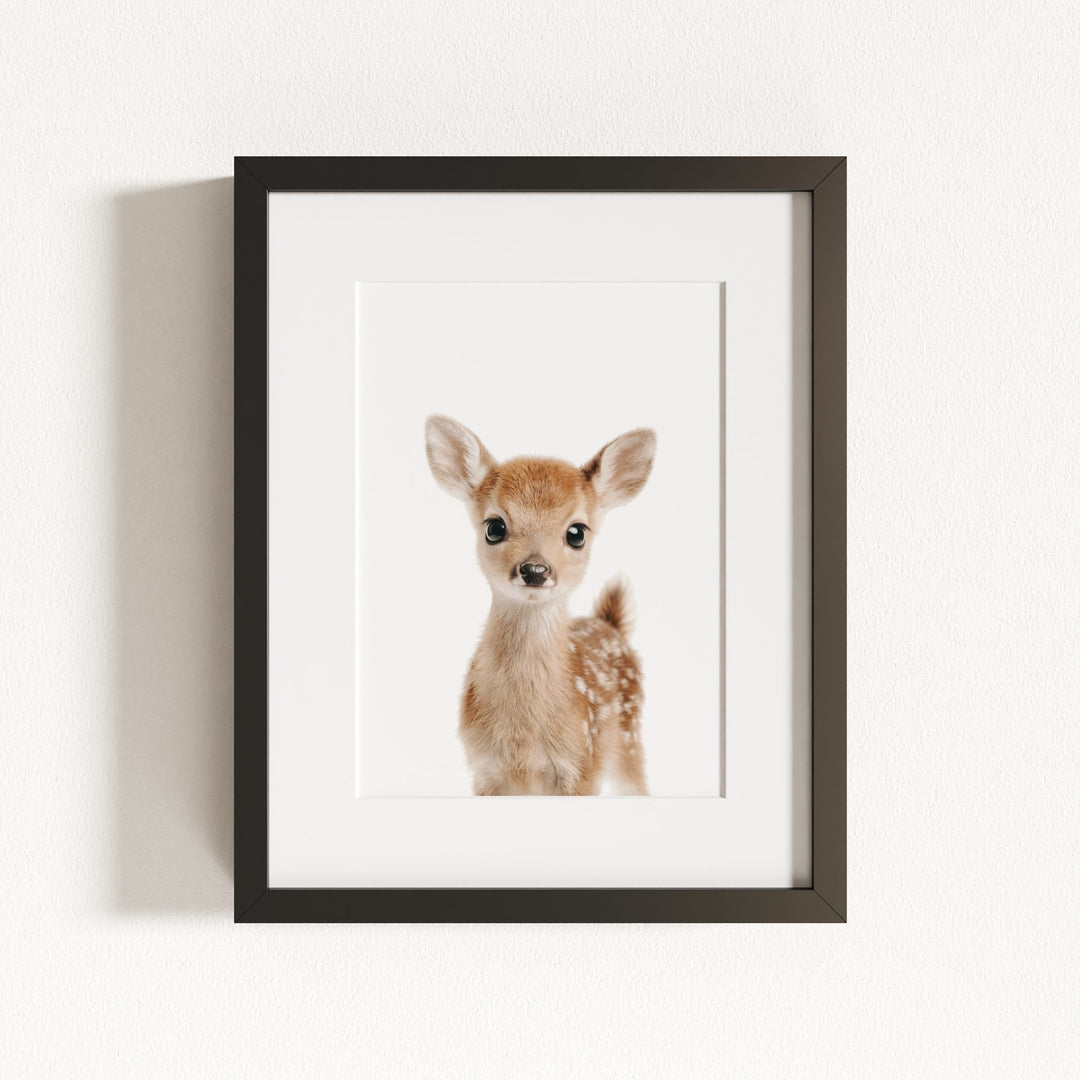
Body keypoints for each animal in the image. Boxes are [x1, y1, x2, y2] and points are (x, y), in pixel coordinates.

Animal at [424, 415, 656, 796]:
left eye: (577, 532)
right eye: (494, 527)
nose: (535, 570)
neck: (523, 740)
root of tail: (610, 623)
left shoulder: (582, 766)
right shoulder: (484, 770)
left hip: (629, 738)